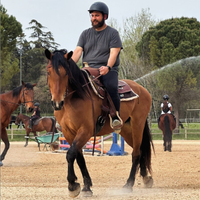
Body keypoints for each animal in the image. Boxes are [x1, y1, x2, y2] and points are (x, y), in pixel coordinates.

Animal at [45, 48, 154, 198]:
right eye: (48, 72)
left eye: (65, 73)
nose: (57, 102)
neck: (76, 96)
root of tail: (141, 89)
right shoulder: (68, 133)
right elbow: (79, 158)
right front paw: (86, 187)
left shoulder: (85, 130)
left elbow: (70, 154)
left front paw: (72, 185)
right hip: (127, 130)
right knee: (141, 149)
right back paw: (146, 178)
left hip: (138, 125)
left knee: (136, 153)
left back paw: (128, 184)